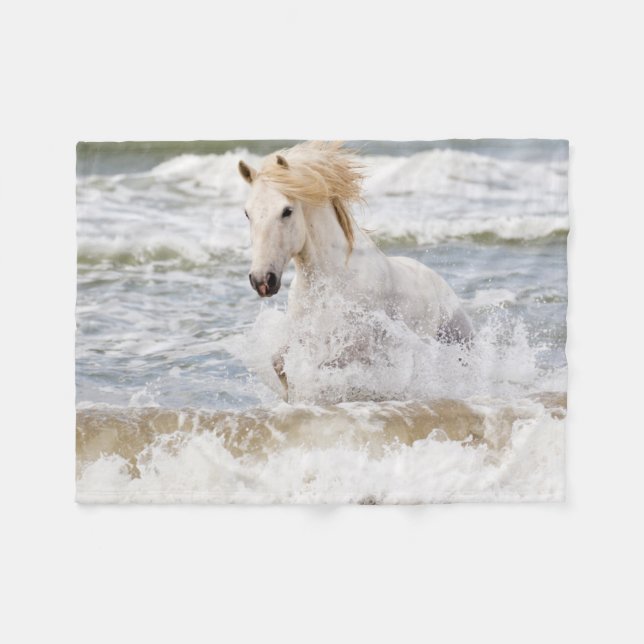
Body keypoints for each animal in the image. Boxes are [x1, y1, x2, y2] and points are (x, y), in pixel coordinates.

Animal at [238, 141, 473, 398]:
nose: (262, 280)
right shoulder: (304, 333)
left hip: (458, 341)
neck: (333, 279)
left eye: (287, 211)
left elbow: (327, 367)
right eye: (247, 213)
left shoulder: (360, 345)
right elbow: (279, 363)